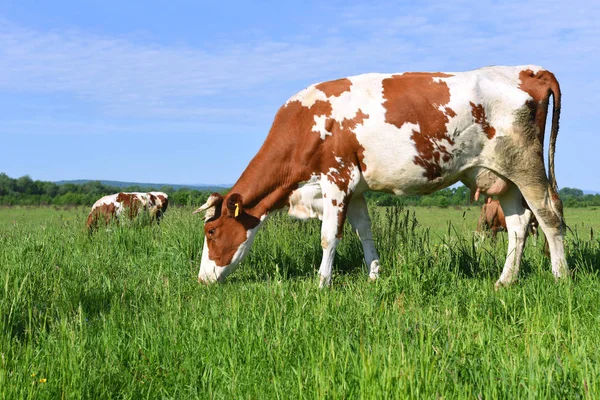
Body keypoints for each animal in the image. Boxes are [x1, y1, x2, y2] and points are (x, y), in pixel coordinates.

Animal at [193, 66, 568, 290]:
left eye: (211, 232)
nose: (201, 279)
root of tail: (528, 70)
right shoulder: (356, 188)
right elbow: (364, 232)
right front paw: (374, 274)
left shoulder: (336, 178)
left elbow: (329, 237)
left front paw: (322, 283)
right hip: (500, 177)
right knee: (518, 225)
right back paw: (506, 281)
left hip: (526, 167)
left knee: (549, 217)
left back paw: (560, 276)